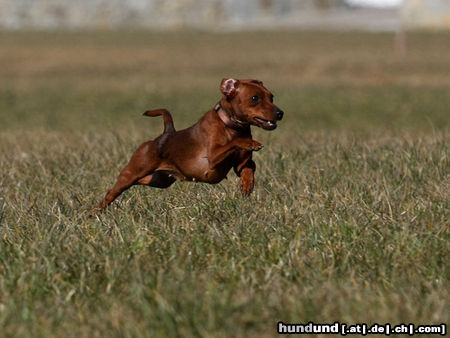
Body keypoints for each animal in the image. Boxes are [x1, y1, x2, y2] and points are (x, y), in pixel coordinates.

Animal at [95, 78, 284, 211]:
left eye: (272, 97)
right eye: (255, 98)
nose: (280, 113)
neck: (231, 126)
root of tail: (166, 134)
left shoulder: (241, 164)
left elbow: (250, 166)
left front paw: (247, 184)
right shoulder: (213, 158)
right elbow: (234, 143)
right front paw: (250, 142)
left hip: (159, 180)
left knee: (141, 181)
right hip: (131, 173)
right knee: (111, 193)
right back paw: (94, 213)